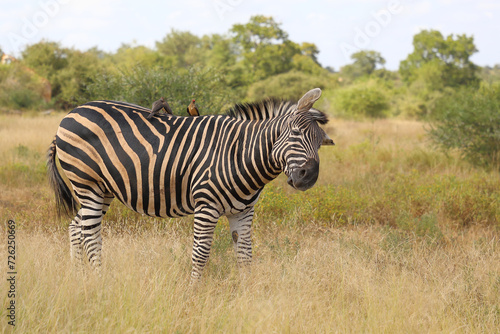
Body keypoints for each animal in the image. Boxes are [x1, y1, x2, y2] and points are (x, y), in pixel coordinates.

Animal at [47, 88, 334, 280]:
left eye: (321, 142)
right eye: (295, 133)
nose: (309, 176)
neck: (239, 153)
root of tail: (71, 113)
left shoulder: (243, 211)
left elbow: (245, 254)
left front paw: (247, 292)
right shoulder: (207, 206)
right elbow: (201, 252)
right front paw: (193, 293)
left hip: (102, 189)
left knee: (76, 227)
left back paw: (79, 276)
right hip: (87, 183)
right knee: (90, 234)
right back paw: (99, 279)